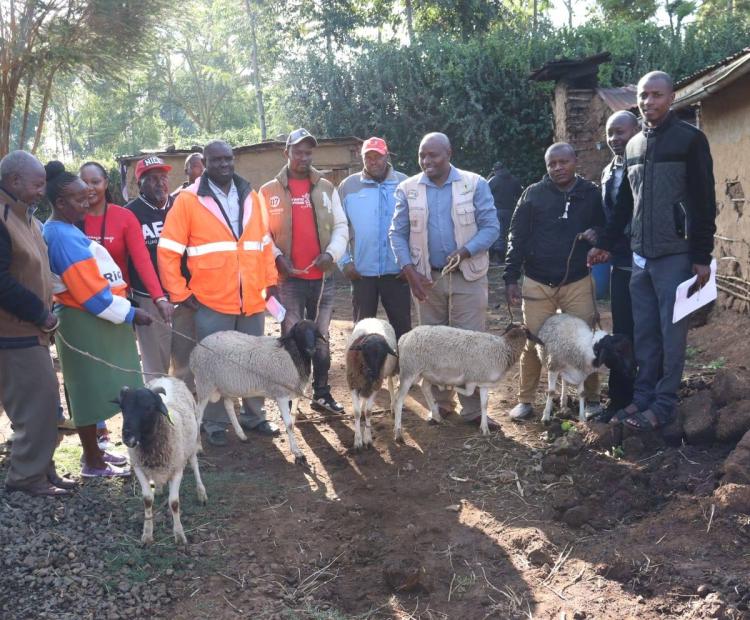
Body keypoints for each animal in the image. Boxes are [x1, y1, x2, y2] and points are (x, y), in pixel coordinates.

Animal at [117, 376, 207, 545]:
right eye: (122, 408)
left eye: (149, 407)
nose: (128, 437)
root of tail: (166, 377)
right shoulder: (139, 468)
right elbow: (147, 500)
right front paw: (147, 534)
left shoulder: (177, 469)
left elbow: (174, 503)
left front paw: (179, 534)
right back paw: (158, 488)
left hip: (192, 443)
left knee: (195, 465)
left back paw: (201, 492)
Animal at [190, 319, 323, 465]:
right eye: (299, 332)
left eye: (315, 331)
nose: (311, 349)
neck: (293, 355)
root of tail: (196, 349)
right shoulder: (281, 394)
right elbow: (288, 424)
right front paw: (298, 454)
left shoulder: (293, 393)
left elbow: (292, 423)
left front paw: (296, 449)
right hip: (204, 383)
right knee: (198, 415)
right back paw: (198, 448)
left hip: (226, 385)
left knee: (228, 406)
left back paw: (242, 435)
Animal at [346, 318, 398, 451]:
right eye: (365, 352)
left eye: (383, 354)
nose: (373, 373)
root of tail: (375, 318)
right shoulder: (353, 384)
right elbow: (357, 413)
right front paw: (358, 441)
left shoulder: (376, 386)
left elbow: (369, 412)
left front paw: (367, 439)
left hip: (389, 372)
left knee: (390, 384)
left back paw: (393, 406)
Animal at [392, 324, 538, 440]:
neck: (505, 348)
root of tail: (405, 337)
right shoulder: (472, 379)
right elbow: (469, 393)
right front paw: (449, 387)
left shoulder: (483, 382)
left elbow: (484, 404)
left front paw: (485, 428)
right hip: (409, 370)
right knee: (399, 400)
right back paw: (398, 433)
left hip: (427, 372)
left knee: (425, 388)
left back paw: (437, 417)